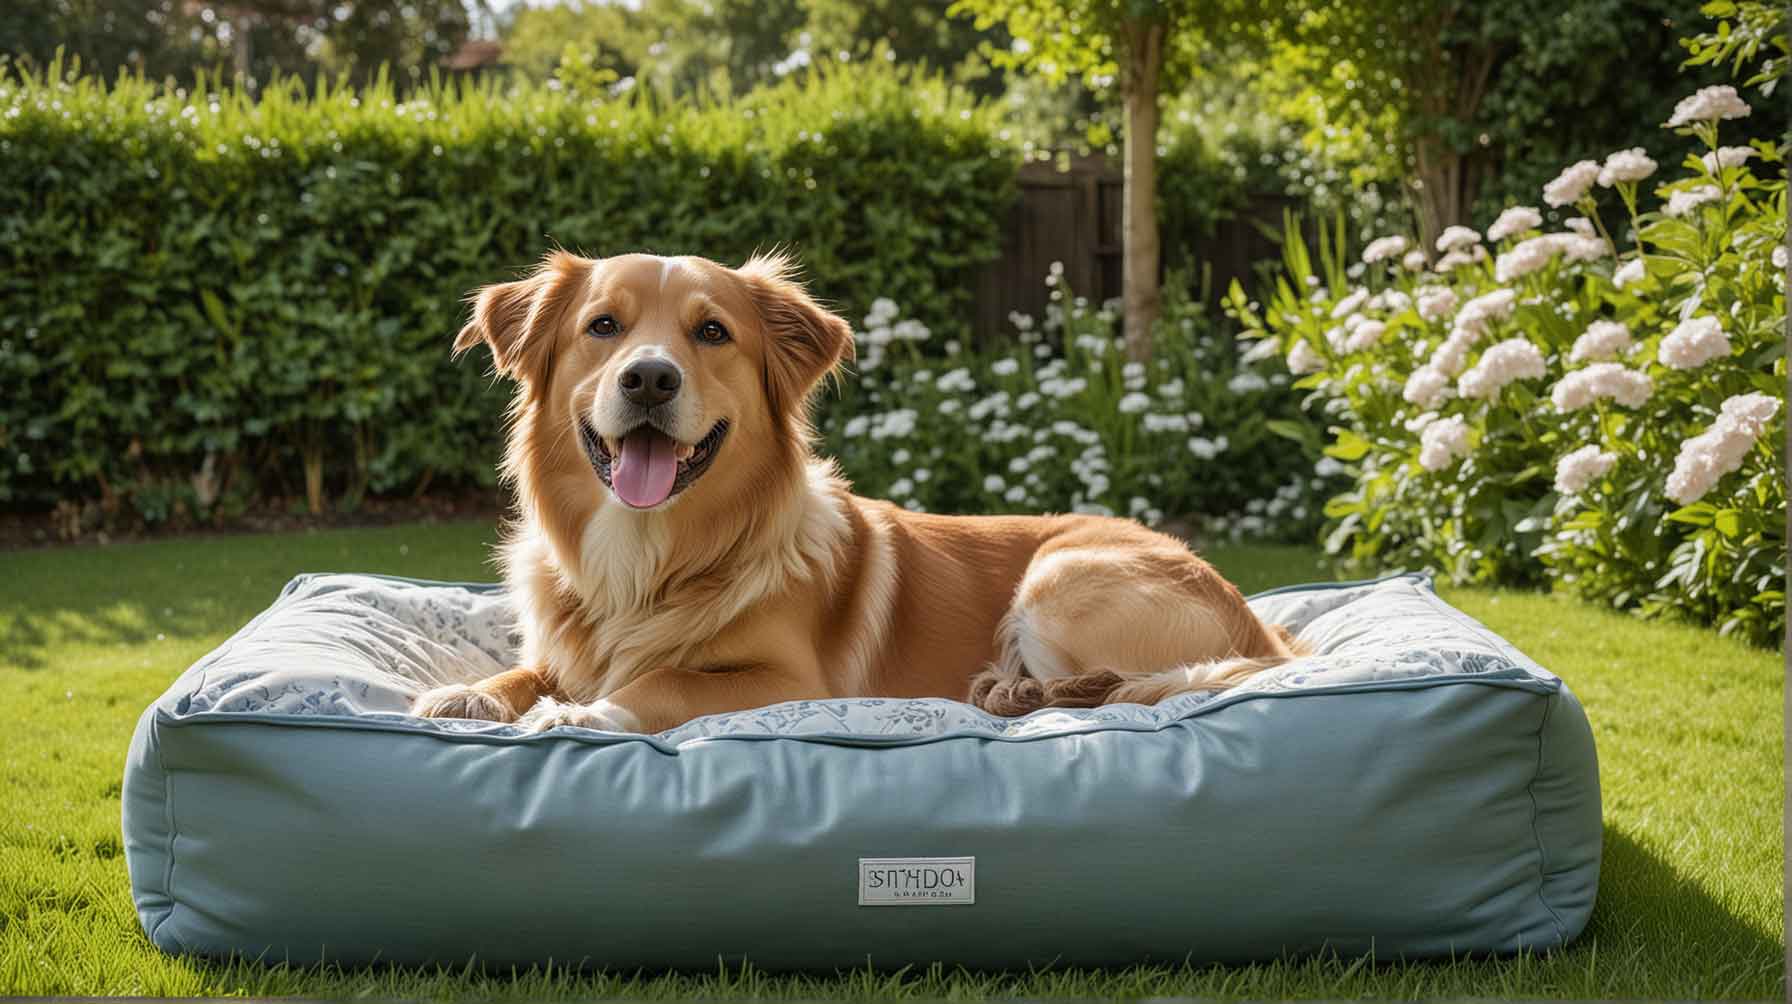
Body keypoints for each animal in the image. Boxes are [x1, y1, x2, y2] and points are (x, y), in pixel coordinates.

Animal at [410, 251, 1304, 735]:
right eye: (603, 327)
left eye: (711, 332)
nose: (650, 378)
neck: (649, 560)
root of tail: (1263, 630)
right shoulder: (563, 648)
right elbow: (528, 671)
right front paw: (475, 691)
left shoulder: (790, 685)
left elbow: (662, 683)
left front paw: (582, 715)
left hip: (1062, 579)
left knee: (1115, 690)